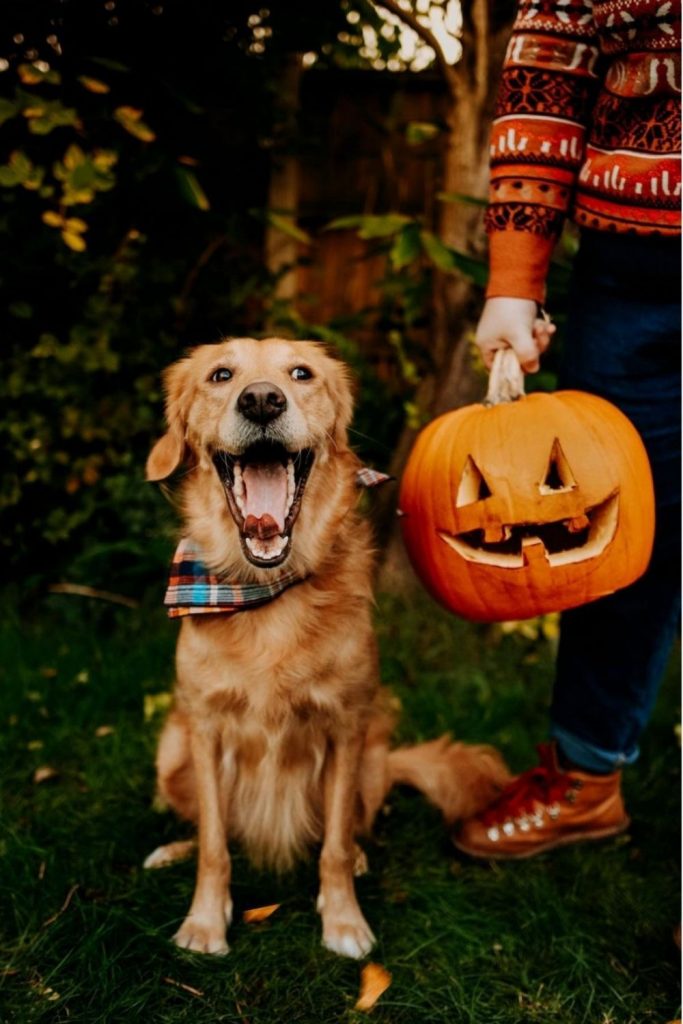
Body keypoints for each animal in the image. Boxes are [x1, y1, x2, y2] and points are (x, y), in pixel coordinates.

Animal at [144, 337, 507, 958]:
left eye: (300, 373)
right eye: (221, 375)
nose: (262, 400)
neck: (265, 593)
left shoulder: (345, 727)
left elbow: (333, 841)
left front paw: (343, 920)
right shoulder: (205, 728)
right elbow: (215, 843)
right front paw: (205, 921)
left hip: (372, 758)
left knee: (354, 825)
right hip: (173, 753)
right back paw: (172, 849)